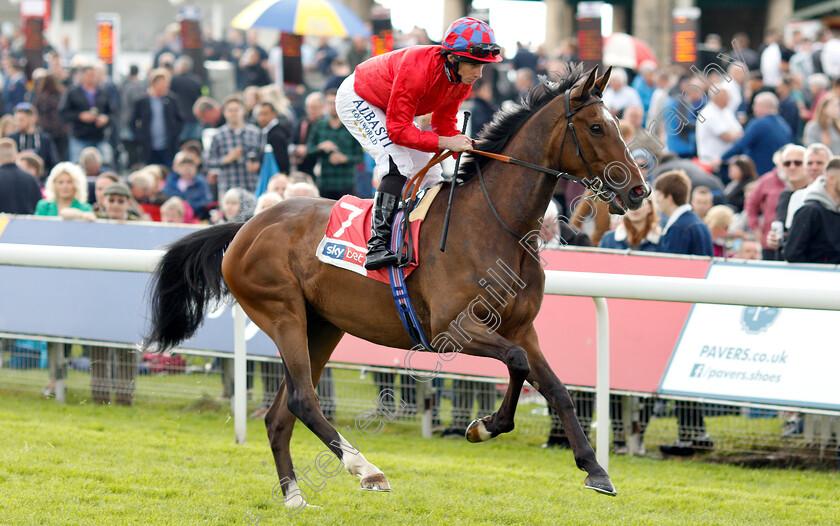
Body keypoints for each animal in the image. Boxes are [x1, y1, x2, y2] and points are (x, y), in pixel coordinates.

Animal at [146, 64, 648, 510]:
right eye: (597, 127)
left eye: (617, 125)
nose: (638, 191)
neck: (494, 224)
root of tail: (245, 227)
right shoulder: (453, 329)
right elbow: (519, 364)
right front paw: (485, 425)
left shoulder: (522, 327)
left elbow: (555, 387)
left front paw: (594, 469)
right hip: (281, 313)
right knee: (304, 399)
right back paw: (366, 470)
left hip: (321, 326)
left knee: (279, 414)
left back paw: (294, 497)